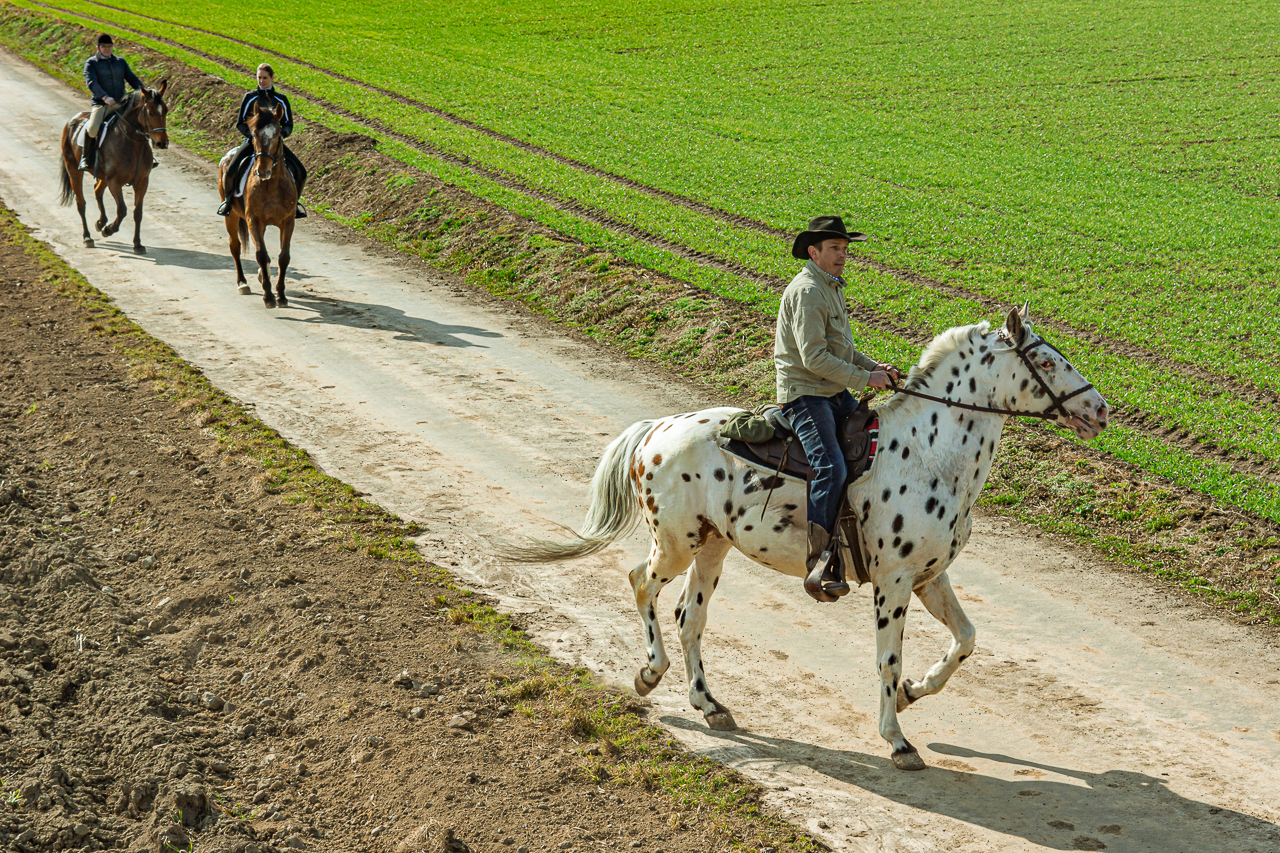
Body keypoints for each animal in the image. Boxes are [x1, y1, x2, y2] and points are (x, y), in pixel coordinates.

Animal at [57, 83, 170, 252]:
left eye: (166, 110)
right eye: (150, 112)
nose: (162, 143)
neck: (132, 143)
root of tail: (73, 119)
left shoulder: (142, 182)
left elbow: (138, 212)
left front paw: (137, 244)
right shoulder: (115, 183)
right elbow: (122, 210)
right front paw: (109, 230)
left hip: (103, 176)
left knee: (97, 190)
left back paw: (100, 222)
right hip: (74, 171)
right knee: (81, 203)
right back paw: (88, 237)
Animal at [221, 92, 300, 308]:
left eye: (278, 134)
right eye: (254, 134)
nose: (262, 171)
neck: (271, 185)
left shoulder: (288, 221)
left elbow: (283, 257)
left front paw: (281, 295)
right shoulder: (253, 220)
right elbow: (261, 255)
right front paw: (268, 297)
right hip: (231, 216)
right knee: (235, 246)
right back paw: (242, 283)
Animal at [501, 307, 1111, 768]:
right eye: (1048, 360)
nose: (1102, 409)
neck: (931, 455)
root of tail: (657, 430)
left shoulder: (929, 577)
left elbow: (965, 639)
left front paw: (915, 692)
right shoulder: (892, 582)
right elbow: (888, 659)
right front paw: (897, 740)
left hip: (714, 547)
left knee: (689, 618)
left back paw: (710, 704)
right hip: (676, 543)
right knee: (640, 584)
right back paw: (651, 674)